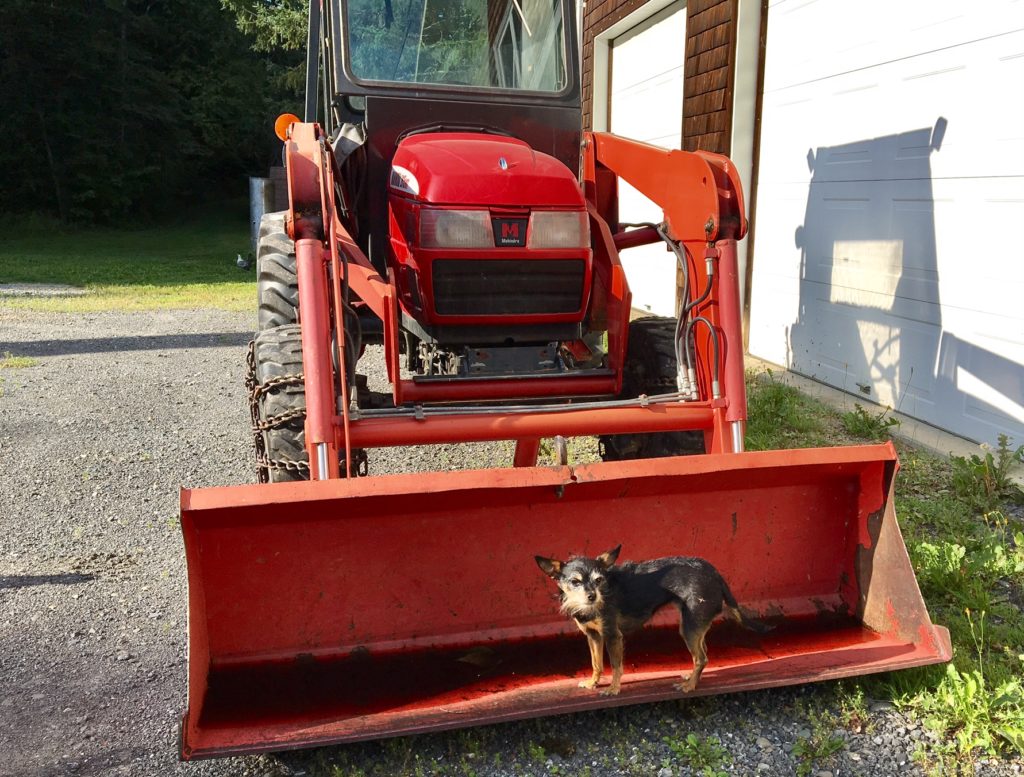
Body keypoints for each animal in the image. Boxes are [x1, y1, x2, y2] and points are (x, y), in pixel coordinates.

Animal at [536, 544, 770, 696]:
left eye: (599, 580)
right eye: (575, 582)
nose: (592, 596)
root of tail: (715, 574)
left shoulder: (613, 636)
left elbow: (616, 665)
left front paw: (613, 689)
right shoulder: (593, 636)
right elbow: (596, 663)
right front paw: (593, 683)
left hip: (689, 627)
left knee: (701, 658)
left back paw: (689, 687)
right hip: (695, 626)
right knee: (703, 654)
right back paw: (692, 678)